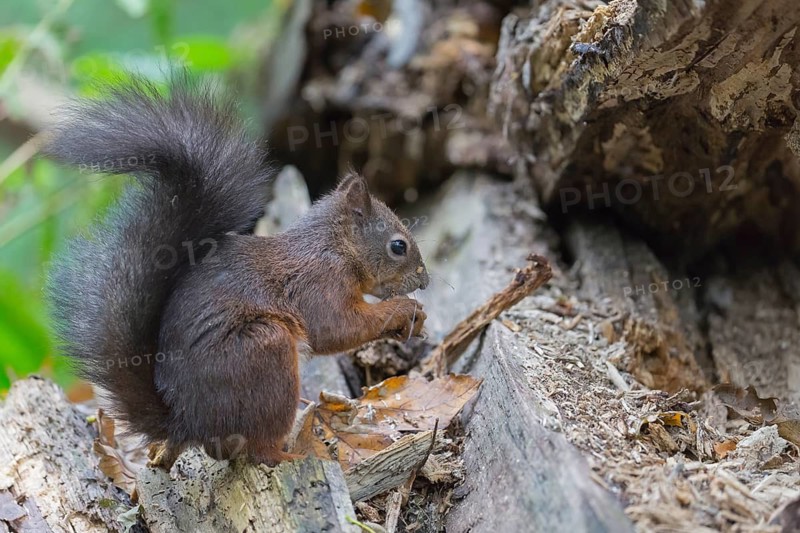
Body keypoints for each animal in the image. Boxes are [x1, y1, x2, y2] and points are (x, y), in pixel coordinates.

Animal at [45, 77, 429, 466]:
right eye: (398, 246)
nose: (425, 280)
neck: (334, 245)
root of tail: (187, 422)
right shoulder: (319, 282)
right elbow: (337, 328)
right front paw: (404, 310)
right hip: (266, 349)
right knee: (258, 450)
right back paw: (294, 454)